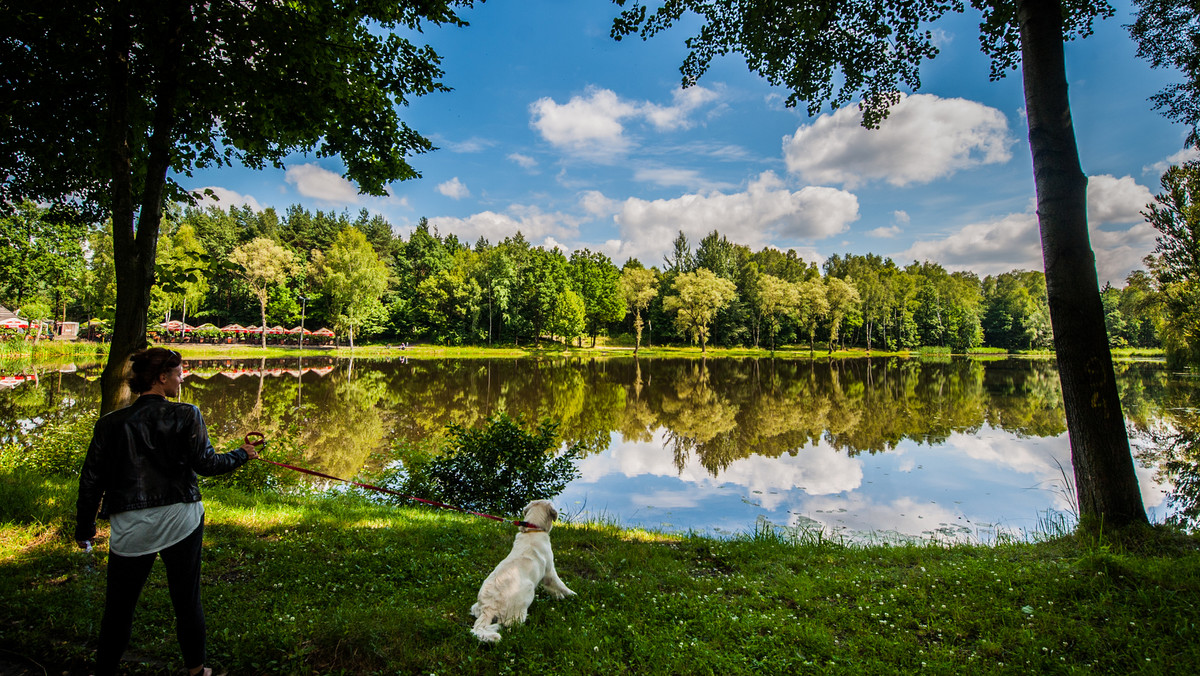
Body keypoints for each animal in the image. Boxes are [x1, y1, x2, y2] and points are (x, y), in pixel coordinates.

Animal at [470, 499, 573, 643]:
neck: (532, 531)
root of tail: (488, 607)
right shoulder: (549, 571)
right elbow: (560, 584)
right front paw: (572, 594)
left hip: (476, 607)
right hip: (529, 589)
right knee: (510, 623)